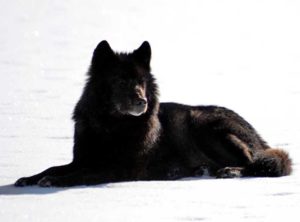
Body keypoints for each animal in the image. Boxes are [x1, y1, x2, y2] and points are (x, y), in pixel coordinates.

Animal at [15, 40, 292, 186]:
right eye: (120, 81)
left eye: (141, 81)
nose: (142, 102)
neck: (112, 127)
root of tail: (259, 137)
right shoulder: (82, 159)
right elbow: (54, 167)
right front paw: (29, 178)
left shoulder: (119, 169)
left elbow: (80, 175)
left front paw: (52, 182)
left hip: (205, 126)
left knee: (258, 163)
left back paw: (230, 171)